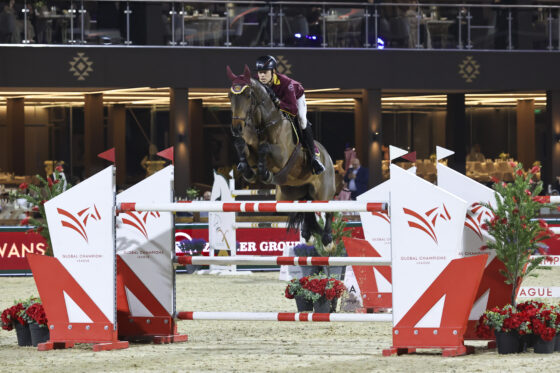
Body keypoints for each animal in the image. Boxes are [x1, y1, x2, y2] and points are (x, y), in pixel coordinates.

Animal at [224, 65, 336, 248]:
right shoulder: (250, 150)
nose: (237, 128)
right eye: (229, 95)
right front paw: (247, 170)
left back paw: (327, 240)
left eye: (248, 95)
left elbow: (264, 148)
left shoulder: (282, 155)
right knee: (307, 210)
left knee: (328, 210)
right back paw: (308, 234)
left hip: (323, 192)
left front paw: (265, 173)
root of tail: (328, 157)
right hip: (289, 196)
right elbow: (242, 147)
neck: (263, 124)